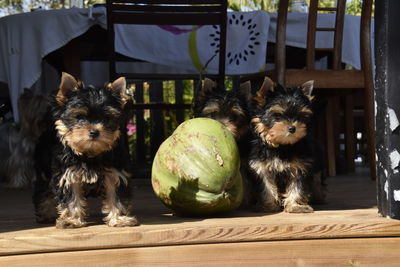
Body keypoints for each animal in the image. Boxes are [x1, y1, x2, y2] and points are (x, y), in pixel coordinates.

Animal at [33, 72, 139, 229]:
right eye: (79, 116)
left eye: (107, 118)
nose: (94, 132)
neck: (90, 153)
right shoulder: (68, 173)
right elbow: (71, 198)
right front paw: (72, 220)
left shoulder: (115, 172)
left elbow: (116, 195)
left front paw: (119, 219)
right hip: (44, 169)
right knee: (43, 190)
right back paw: (45, 213)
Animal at [248, 77, 326, 214]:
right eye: (277, 115)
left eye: (301, 116)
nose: (292, 128)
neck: (283, 146)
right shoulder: (262, 167)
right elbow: (266, 187)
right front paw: (267, 206)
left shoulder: (300, 167)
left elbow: (297, 187)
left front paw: (296, 206)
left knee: (316, 181)